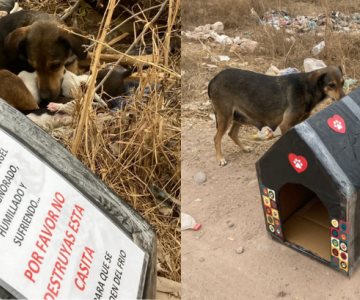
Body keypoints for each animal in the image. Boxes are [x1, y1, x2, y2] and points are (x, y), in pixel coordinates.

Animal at [208, 65, 346, 166]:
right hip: (225, 116)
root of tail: (214, 79)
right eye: (331, 85)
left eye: (343, 83)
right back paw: (220, 158)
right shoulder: (286, 125)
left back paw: (245, 148)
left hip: (240, 117)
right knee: (216, 138)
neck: (308, 88)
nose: (344, 98)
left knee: (232, 134)